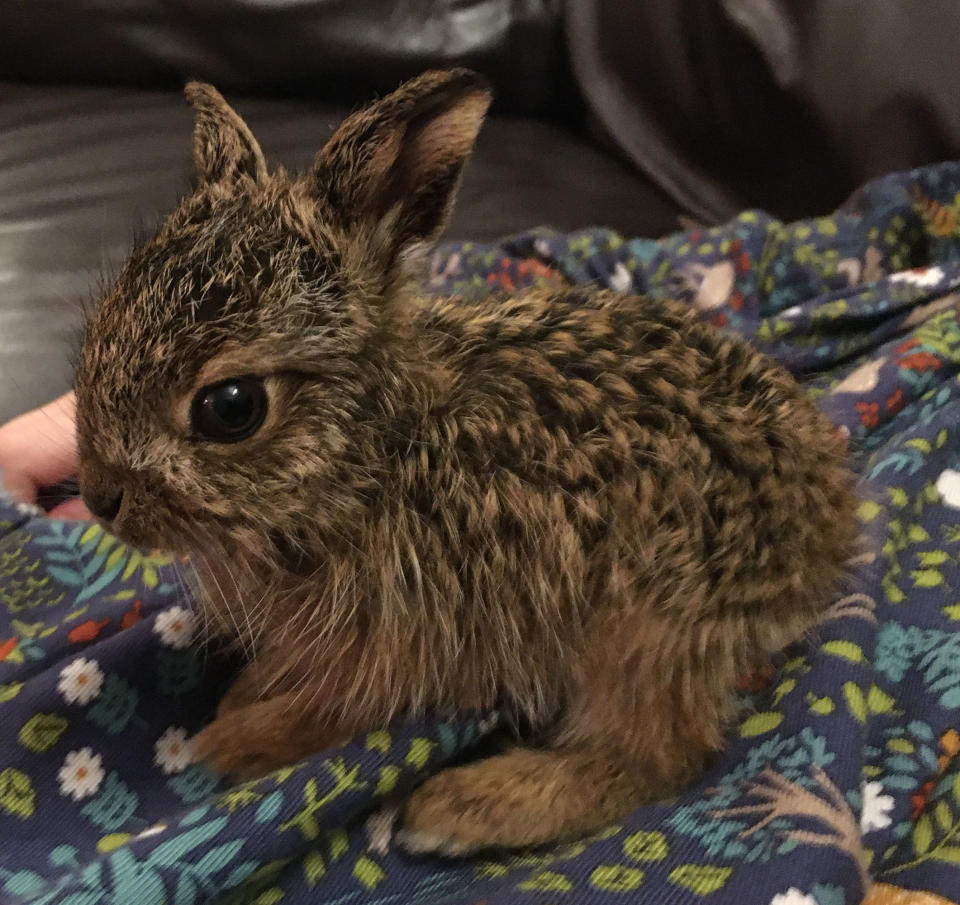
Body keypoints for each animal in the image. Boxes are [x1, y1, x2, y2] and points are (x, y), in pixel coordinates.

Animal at [71, 72, 860, 856]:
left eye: (231, 407)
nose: (99, 497)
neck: (377, 454)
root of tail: (824, 535)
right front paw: (245, 693)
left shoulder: (411, 640)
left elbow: (337, 712)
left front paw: (234, 738)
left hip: (645, 624)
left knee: (658, 754)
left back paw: (463, 807)